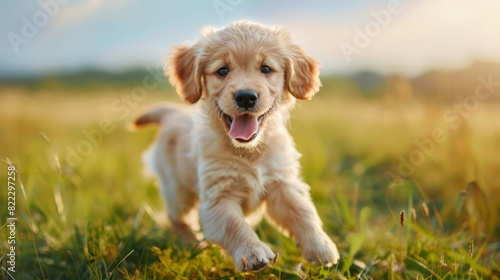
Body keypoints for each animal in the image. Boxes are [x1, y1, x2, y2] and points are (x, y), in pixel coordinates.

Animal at [134, 20, 340, 270]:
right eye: (222, 70)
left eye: (266, 69)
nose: (246, 97)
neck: (248, 152)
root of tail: (173, 113)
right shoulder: (218, 197)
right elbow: (235, 225)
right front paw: (252, 253)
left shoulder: (281, 183)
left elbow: (302, 211)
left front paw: (321, 247)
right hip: (177, 191)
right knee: (176, 218)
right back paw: (194, 245)